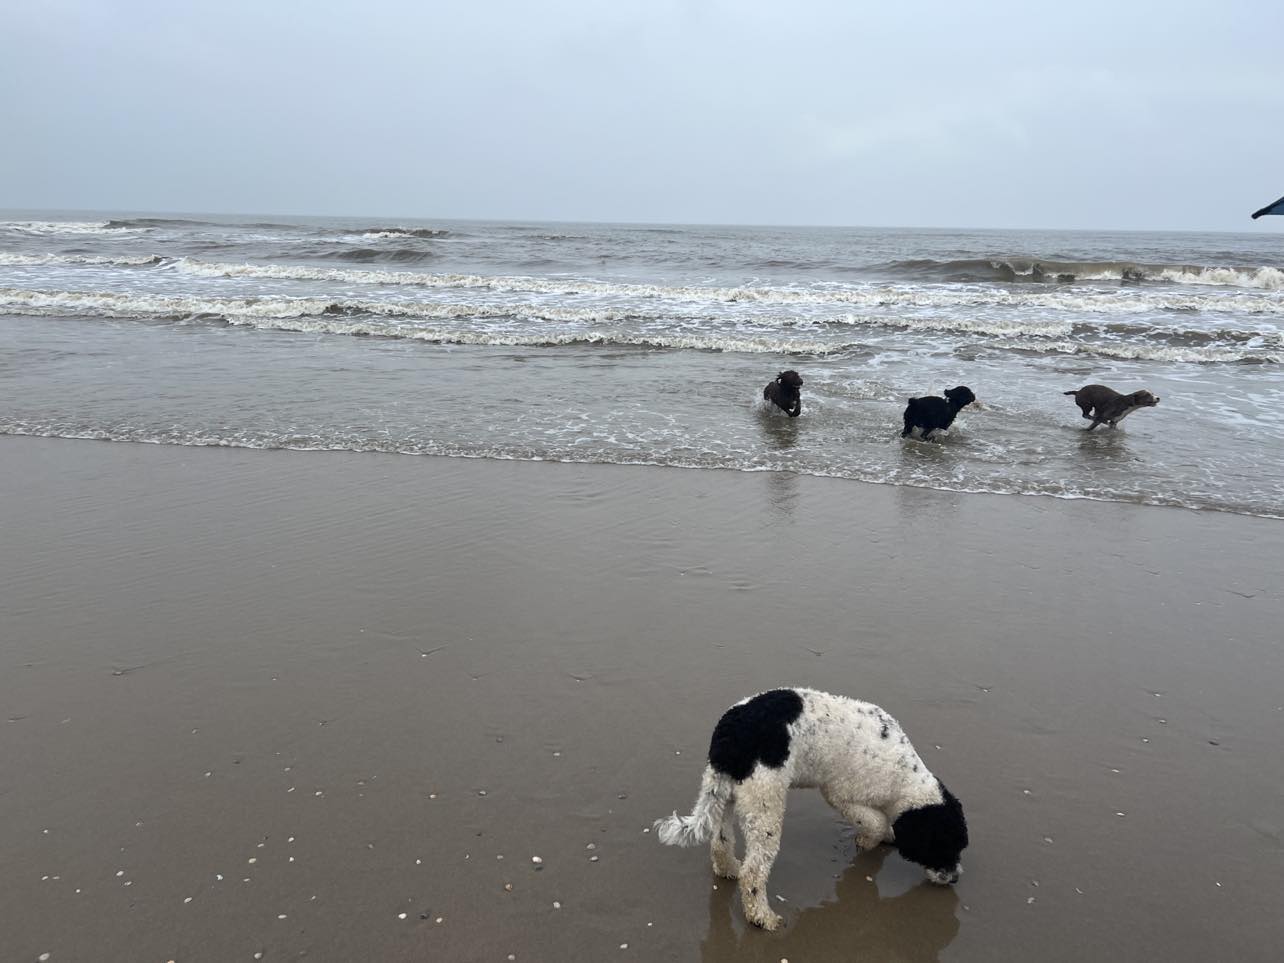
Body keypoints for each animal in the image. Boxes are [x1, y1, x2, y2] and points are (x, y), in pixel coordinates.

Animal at [657, 688, 965, 929]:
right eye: (943, 846)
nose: (954, 879)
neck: (904, 777)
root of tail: (730, 735)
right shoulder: (841, 795)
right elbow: (874, 821)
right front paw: (869, 839)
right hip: (765, 805)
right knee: (753, 872)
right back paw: (762, 917)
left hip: (724, 792)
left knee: (721, 843)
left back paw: (729, 868)